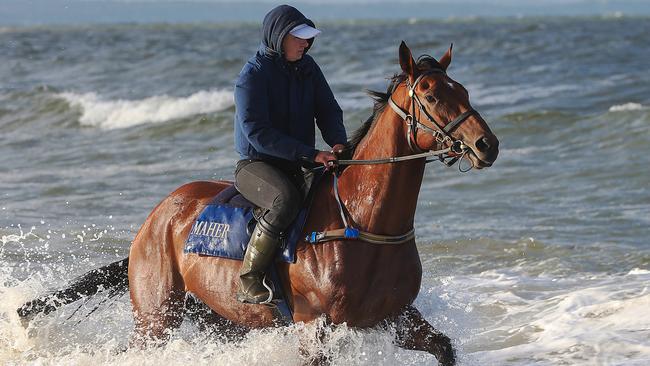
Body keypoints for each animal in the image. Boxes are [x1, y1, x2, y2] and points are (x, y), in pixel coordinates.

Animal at [19, 41, 496, 364]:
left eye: (463, 89)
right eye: (431, 95)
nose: (486, 145)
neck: (363, 221)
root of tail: (155, 219)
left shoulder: (395, 318)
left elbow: (443, 346)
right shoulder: (316, 329)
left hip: (222, 319)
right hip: (156, 316)